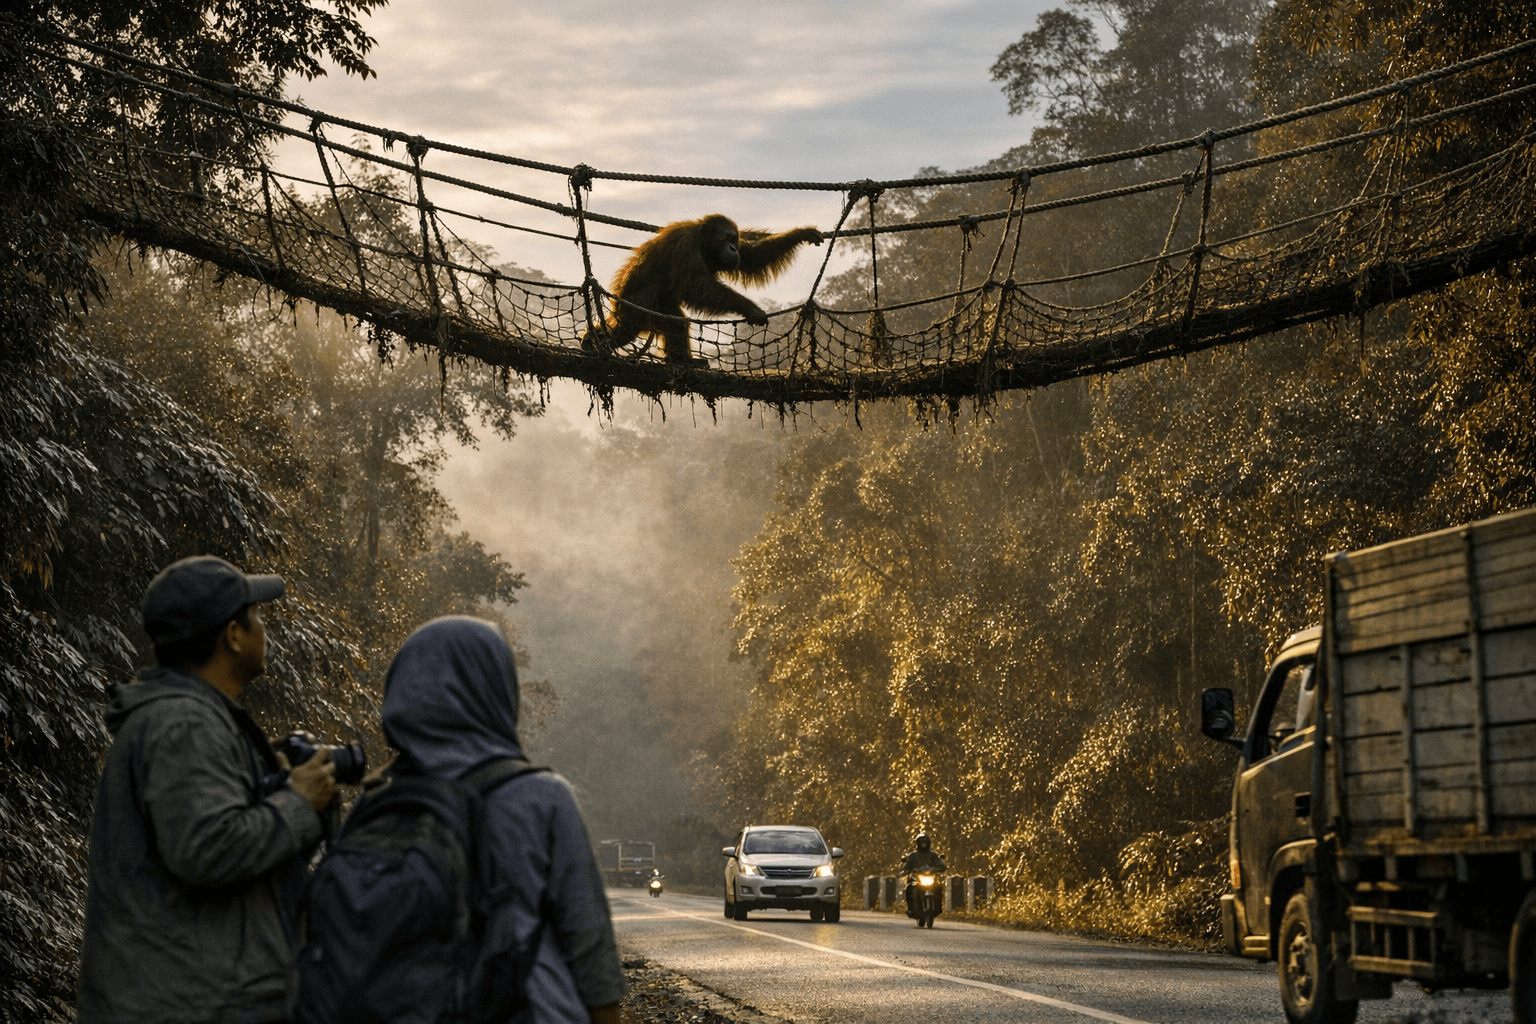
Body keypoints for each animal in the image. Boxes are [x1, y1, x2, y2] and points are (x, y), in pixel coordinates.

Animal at [581, 214, 823, 367]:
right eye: (726, 238)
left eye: (734, 239)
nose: (733, 248)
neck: (701, 241)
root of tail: (618, 298)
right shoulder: (685, 244)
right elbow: (696, 285)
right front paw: (749, 308)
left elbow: (753, 257)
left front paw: (801, 233)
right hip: (637, 303)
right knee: (626, 330)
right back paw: (592, 342)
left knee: (675, 321)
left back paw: (684, 361)